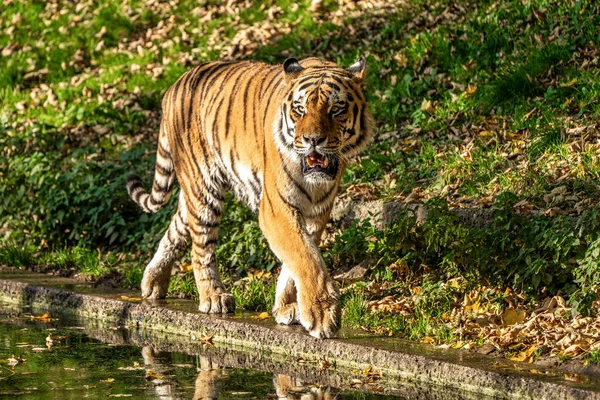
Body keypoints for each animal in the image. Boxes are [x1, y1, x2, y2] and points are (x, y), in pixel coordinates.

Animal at [127, 56, 376, 338]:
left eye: (336, 109)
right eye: (300, 109)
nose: (313, 140)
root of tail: (174, 85)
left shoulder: (316, 212)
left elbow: (296, 261)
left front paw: (286, 308)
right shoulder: (276, 209)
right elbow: (305, 258)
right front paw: (322, 314)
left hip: (193, 192)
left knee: (175, 229)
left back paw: (153, 282)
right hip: (203, 188)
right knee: (200, 248)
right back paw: (213, 297)